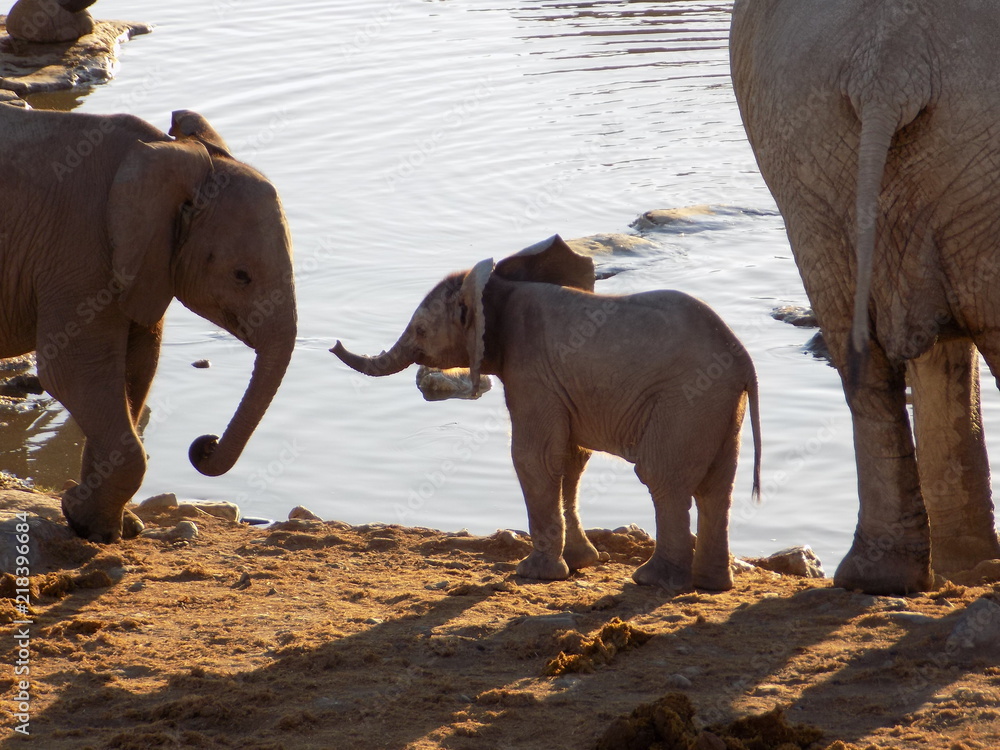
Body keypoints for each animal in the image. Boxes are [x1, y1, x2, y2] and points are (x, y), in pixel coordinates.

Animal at [0, 104, 297, 542]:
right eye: (241, 276)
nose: (205, 443)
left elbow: (138, 368)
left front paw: (104, 521)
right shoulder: (78, 250)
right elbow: (71, 372)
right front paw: (90, 526)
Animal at [332, 236, 761, 591]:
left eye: (420, 330)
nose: (334, 343)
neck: (496, 287)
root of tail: (744, 361)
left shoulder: (531, 371)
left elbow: (533, 458)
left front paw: (533, 573)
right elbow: (570, 460)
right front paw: (579, 562)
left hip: (687, 400)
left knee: (662, 477)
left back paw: (653, 581)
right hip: (719, 407)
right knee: (716, 487)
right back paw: (712, 585)